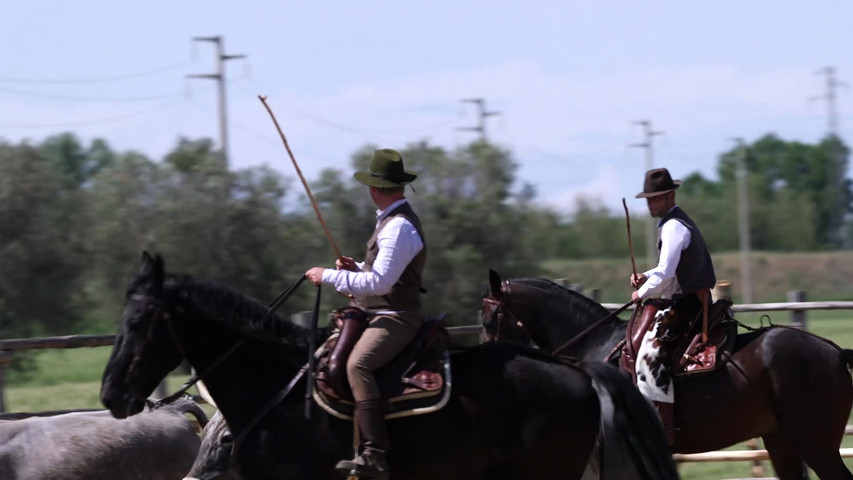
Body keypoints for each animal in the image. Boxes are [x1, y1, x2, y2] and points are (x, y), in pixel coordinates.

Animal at [482, 270, 852, 480]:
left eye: (487, 318)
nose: (488, 359)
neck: (596, 345)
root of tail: (835, 352)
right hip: (780, 440)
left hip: (814, 441)